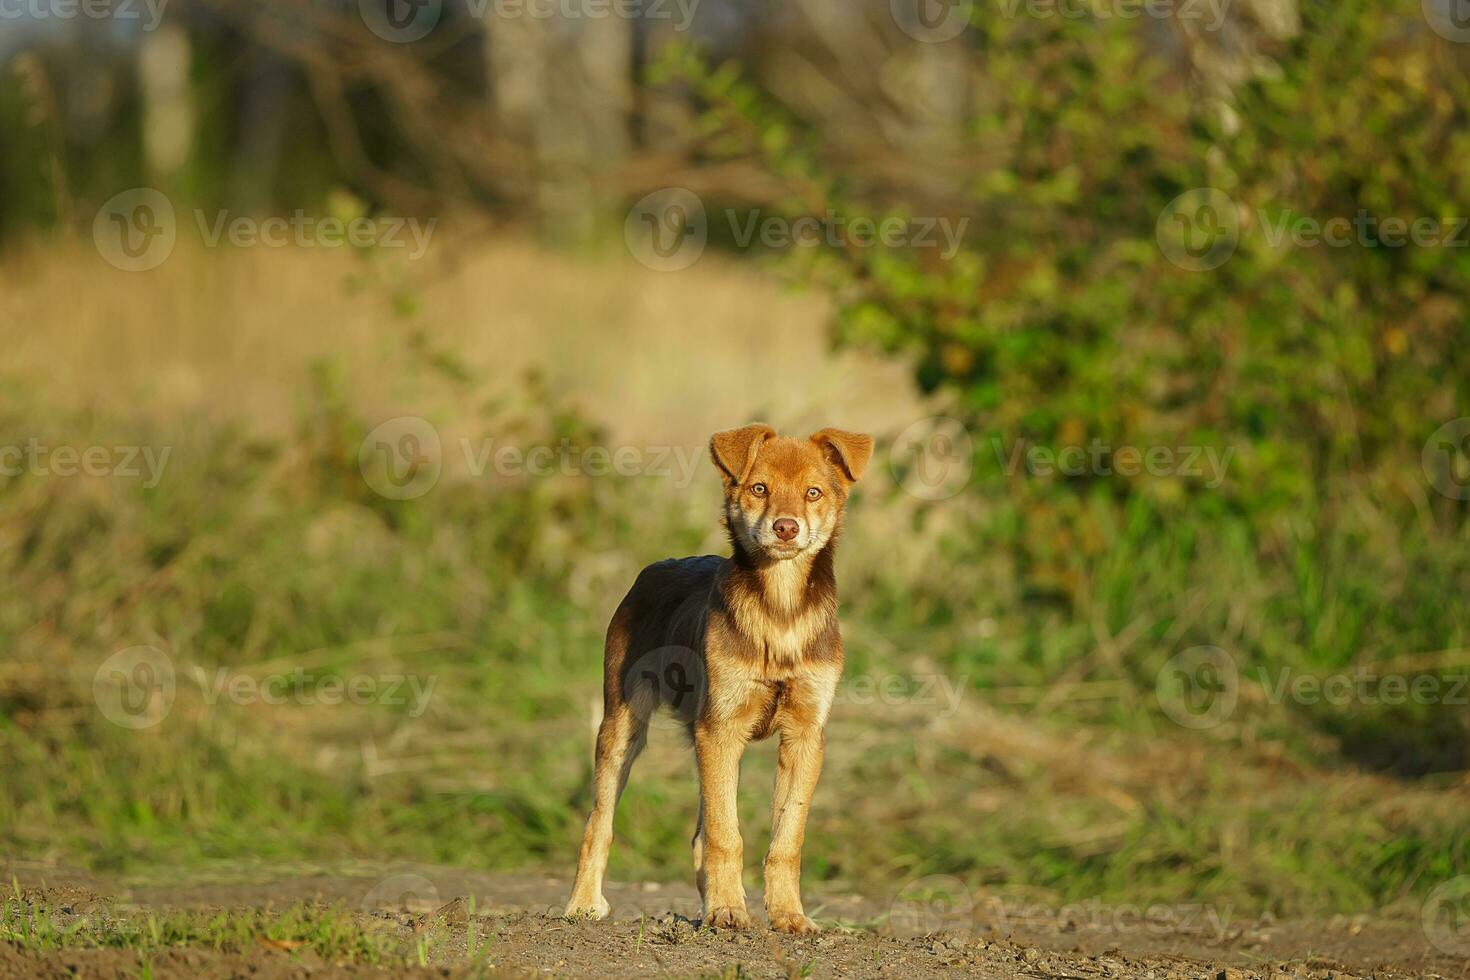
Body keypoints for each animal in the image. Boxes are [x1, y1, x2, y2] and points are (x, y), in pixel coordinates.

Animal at [564, 423, 870, 934]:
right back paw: (583, 904)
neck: (780, 608)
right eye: (759, 488)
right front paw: (728, 910)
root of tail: (655, 568)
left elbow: (786, 839)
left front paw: (788, 914)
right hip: (623, 726)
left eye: (813, 492)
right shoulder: (721, 728)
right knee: (600, 823)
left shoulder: (805, 735)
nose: (786, 527)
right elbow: (728, 835)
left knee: (699, 833)